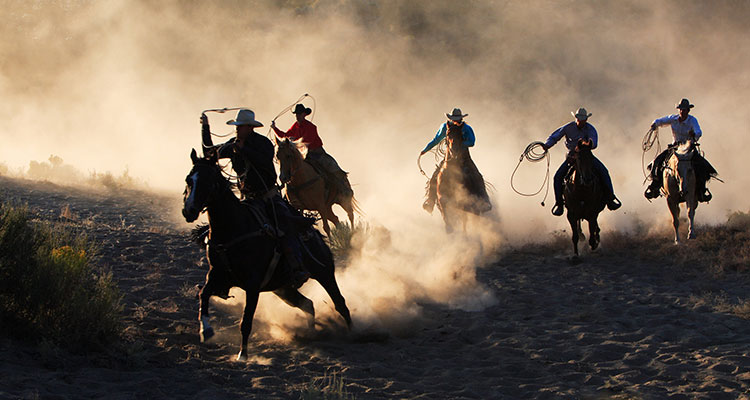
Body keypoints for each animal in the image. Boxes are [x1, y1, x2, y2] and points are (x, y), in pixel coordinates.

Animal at [185, 149, 356, 360]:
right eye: (189, 180)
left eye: (208, 181)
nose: (189, 210)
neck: (234, 227)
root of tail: (316, 235)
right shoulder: (217, 275)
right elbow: (204, 295)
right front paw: (206, 330)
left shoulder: (252, 285)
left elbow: (246, 321)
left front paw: (243, 355)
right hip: (283, 288)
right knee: (307, 304)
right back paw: (311, 333)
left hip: (324, 273)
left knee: (340, 303)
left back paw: (352, 334)